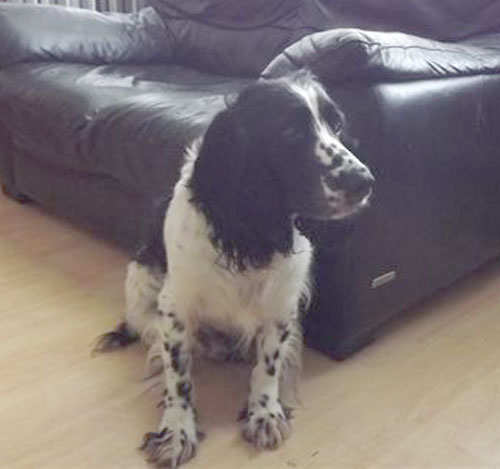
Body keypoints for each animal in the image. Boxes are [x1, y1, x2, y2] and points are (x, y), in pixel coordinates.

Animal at [95, 71, 374, 466]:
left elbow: (268, 364)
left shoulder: (281, 305)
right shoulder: (176, 308)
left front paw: (264, 413)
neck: (253, 230)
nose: (365, 182)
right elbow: (179, 375)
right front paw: (177, 429)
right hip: (142, 294)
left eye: (336, 124)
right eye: (290, 132)